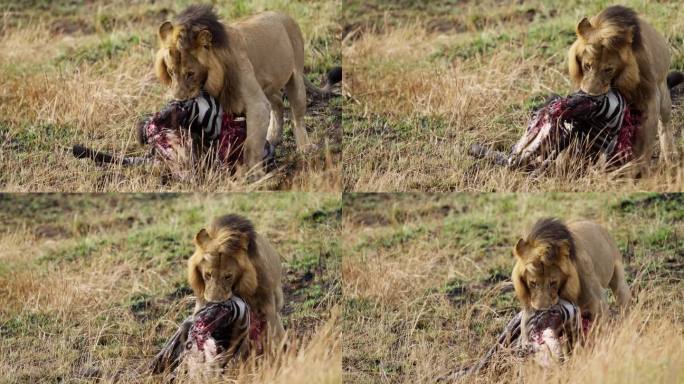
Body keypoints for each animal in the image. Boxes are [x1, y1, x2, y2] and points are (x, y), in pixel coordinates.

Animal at [156, 5, 322, 174]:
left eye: (190, 74)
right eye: (171, 72)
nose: (179, 99)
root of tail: (283, 14)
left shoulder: (257, 104)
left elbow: (251, 144)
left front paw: (254, 172)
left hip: (296, 77)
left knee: (297, 117)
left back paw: (304, 148)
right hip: (267, 84)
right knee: (277, 102)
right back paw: (272, 137)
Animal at [568, 4, 680, 168]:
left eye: (608, 69)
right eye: (587, 65)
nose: (591, 94)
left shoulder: (650, 96)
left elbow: (645, 139)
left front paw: (637, 167)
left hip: (663, 92)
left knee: (664, 124)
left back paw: (670, 157)